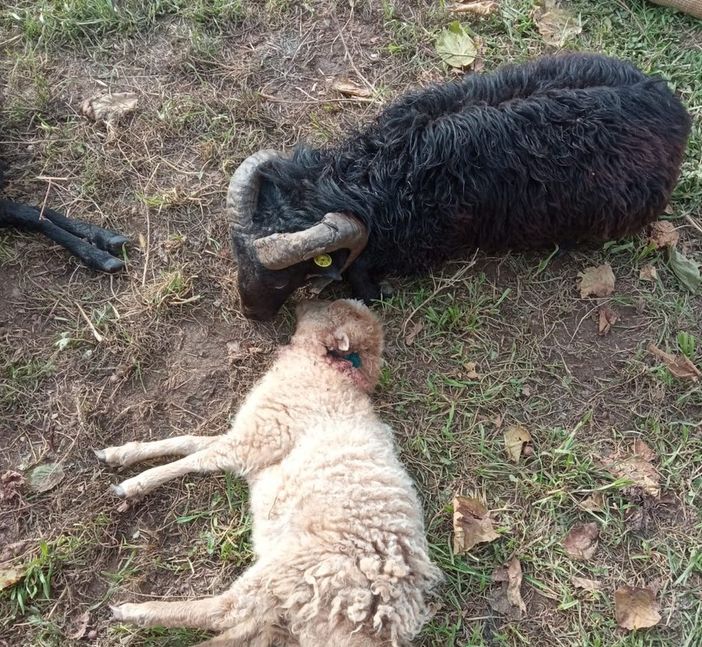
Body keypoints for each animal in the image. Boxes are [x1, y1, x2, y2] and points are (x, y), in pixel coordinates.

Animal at [95, 298, 443, 647]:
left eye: (332, 309)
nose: (302, 301)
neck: (327, 370)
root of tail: (380, 621)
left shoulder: (259, 438)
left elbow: (196, 460)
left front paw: (133, 484)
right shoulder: (249, 435)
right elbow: (188, 442)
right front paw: (121, 453)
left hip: (296, 569)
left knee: (225, 610)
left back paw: (134, 611)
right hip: (292, 599)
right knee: (248, 623)